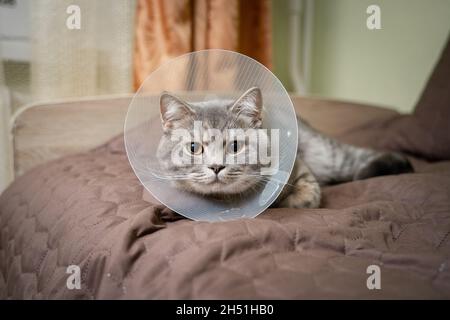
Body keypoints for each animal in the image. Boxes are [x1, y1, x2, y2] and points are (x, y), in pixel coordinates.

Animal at [156, 87, 414, 209]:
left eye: (235, 145)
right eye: (193, 147)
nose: (216, 166)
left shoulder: (303, 170)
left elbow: (306, 197)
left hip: (330, 156)